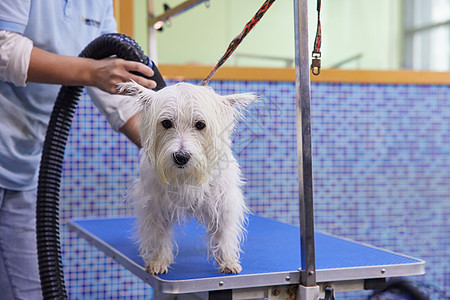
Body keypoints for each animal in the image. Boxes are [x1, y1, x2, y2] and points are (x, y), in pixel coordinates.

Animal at [118, 81, 256, 276]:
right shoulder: (155, 206)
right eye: (166, 123)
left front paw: (227, 260)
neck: (185, 176)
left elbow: (224, 232)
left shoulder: (223, 202)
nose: (181, 157)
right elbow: (159, 235)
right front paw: (158, 261)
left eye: (200, 125)